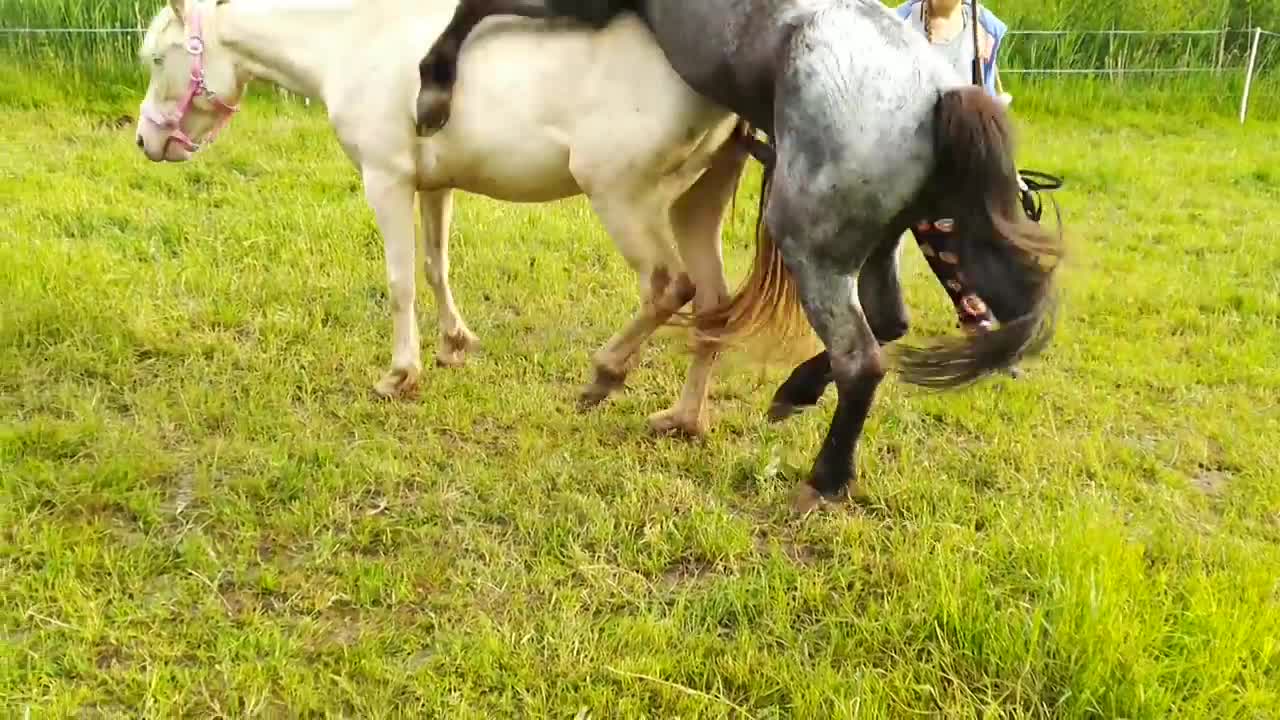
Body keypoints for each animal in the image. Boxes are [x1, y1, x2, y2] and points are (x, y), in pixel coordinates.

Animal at [133, 0, 747, 430]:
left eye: (159, 59)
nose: (145, 141)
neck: (354, 41)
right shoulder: (434, 185)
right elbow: (436, 267)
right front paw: (455, 345)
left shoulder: (386, 180)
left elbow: (400, 280)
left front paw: (400, 375)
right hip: (694, 205)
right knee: (713, 305)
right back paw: (683, 420)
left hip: (621, 198)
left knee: (670, 287)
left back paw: (605, 374)